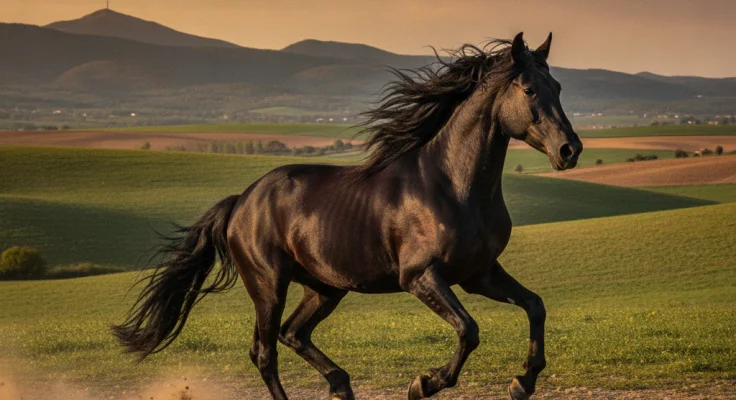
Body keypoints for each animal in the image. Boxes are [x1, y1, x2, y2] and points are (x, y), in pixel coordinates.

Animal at [112, 32, 582, 400]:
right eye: (528, 90)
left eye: (558, 86)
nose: (570, 150)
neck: (453, 186)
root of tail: (242, 201)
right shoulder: (420, 276)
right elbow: (469, 330)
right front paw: (423, 383)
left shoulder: (479, 274)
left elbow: (535, 306)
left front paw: (522, 382)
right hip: (268, 285)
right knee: (265, 352)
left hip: (324, 287)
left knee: (292, 334)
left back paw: (342, 385)